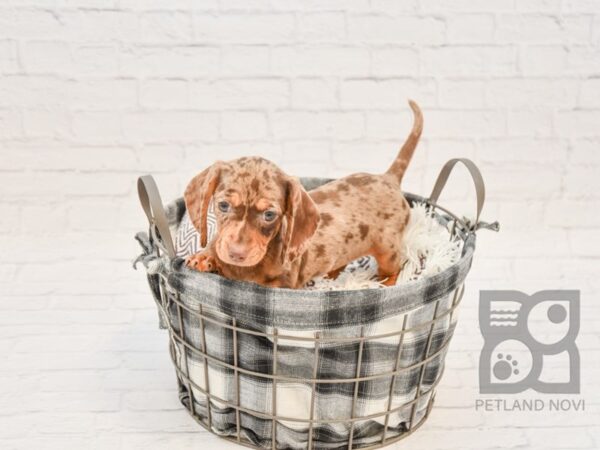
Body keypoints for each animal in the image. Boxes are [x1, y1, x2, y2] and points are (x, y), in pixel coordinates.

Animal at [185, 100, 424, 288]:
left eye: (269, 215)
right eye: (223, 205)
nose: (236, 254)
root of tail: (388, 178)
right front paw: (204, 257)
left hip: (388, 249)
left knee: (394, 268)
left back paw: (383, 283)